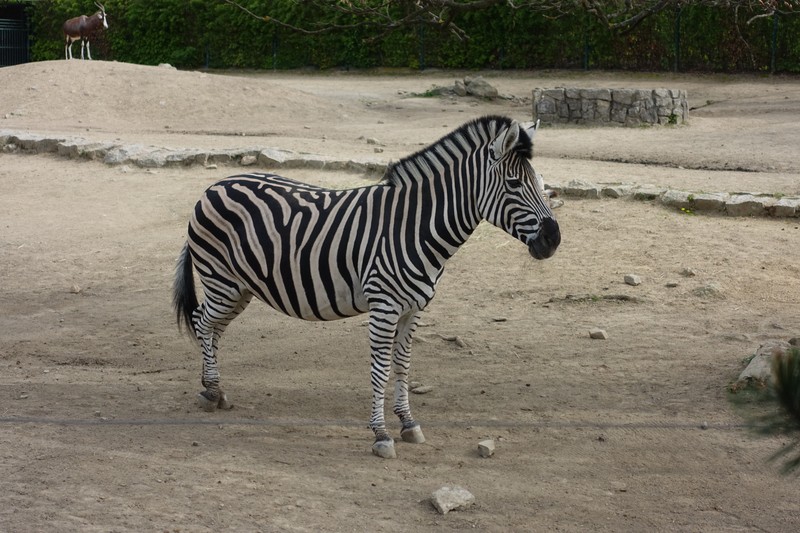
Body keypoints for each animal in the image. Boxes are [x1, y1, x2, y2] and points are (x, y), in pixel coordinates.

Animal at [173, 115, 561, 459]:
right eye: (514, 184)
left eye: (541, 182)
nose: (553, 240)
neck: (414, 226)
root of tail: (215, 185)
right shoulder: (384, 306)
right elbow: (381, 368)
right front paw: (381, 434)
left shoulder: (414, 309)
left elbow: (403, 364)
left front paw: (408, 423)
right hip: (220, 279)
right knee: (202, 322)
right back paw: (210, 391)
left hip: (241, 287)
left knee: (214, 328)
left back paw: (214, 388)